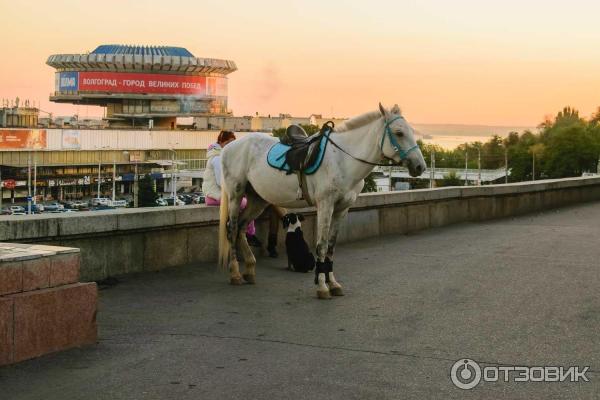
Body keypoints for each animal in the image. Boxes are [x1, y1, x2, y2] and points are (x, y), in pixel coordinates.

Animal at [219, 104, 426, 300]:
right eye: (399, 133)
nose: (420, 166)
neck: (343, 160)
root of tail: (229, 147)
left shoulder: (342, 208)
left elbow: (331, 247)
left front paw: (332, 283)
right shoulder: (326, 205)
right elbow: (322, 245)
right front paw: (322, 286)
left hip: (258, 199)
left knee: (242, 227)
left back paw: (250, 269)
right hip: (236, 194)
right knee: (232, 228)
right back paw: (235, 273)